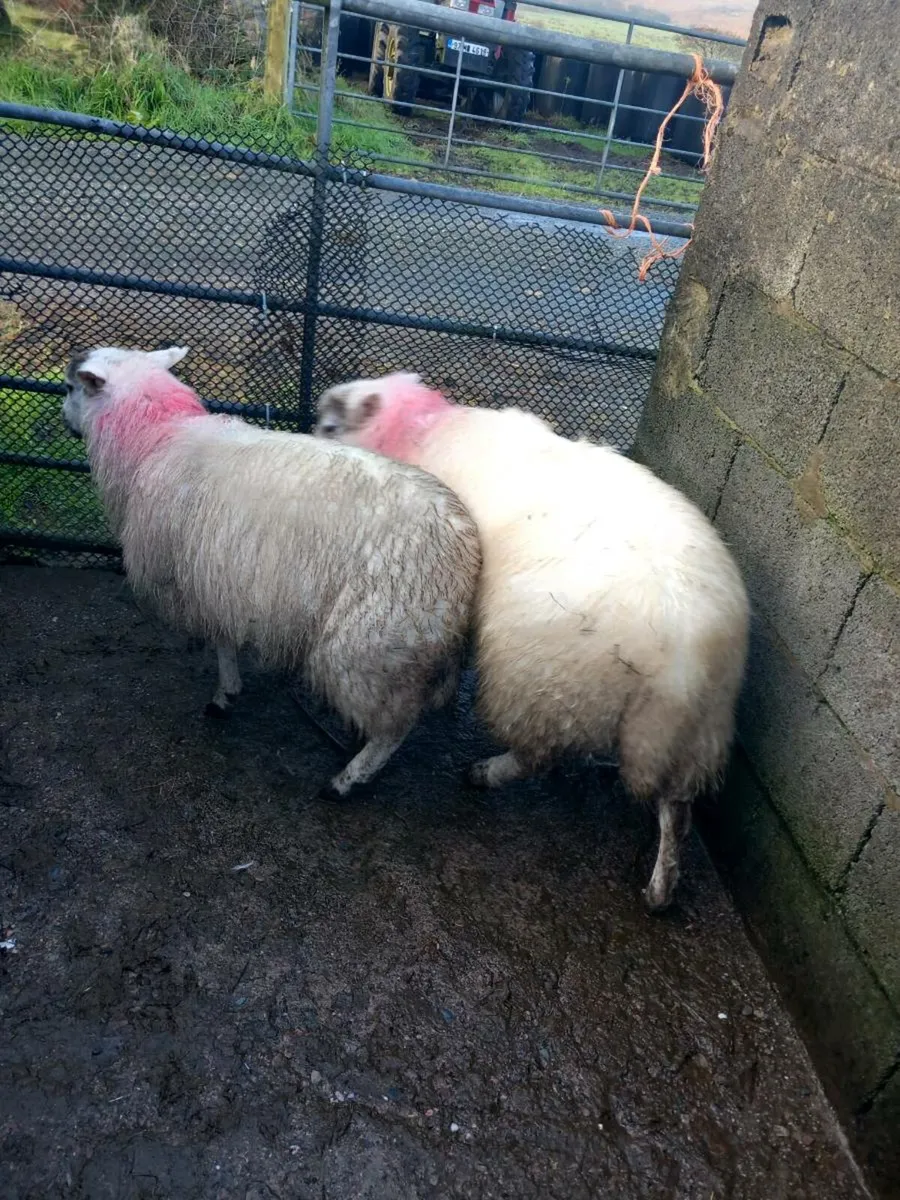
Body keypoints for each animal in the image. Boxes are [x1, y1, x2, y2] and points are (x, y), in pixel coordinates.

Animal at [62, 348, 481, 798]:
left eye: (70, 388)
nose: (63, 417)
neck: (158, 436)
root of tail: (466, 552)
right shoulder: (219, 579)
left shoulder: (204, 582)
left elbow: (222, 644)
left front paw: (223, 695)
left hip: (368, 642)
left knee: (393, 728)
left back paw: (347, 779)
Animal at [315, 372, 750, 911]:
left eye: (330, 425)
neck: (426, 429)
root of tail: (684, 662)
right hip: (690, 733)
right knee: (677, 810)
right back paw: (660, 889)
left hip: (540, 683)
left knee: (536, 756)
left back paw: (484, 772)